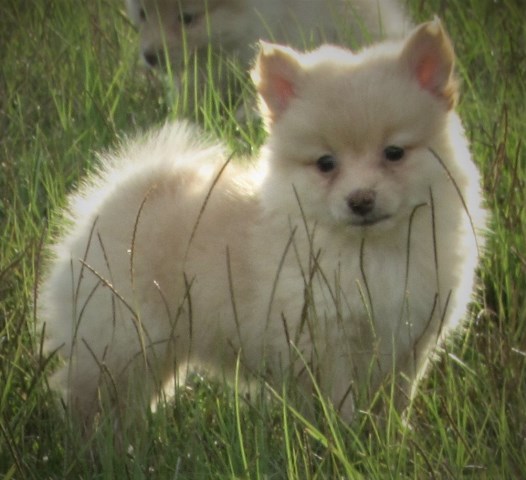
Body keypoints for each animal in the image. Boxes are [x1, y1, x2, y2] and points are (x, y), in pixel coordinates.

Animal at [39, 18, 488, 426]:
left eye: (394, 153)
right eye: (326, 164)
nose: (361, 200)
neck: (371, 252)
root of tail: (121, 193)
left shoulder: (411, 341)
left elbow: (395, 401)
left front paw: (388, 439)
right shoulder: (326, 340)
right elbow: (341, 402)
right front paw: (347, 439)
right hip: (124, 338)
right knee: (87, 396)